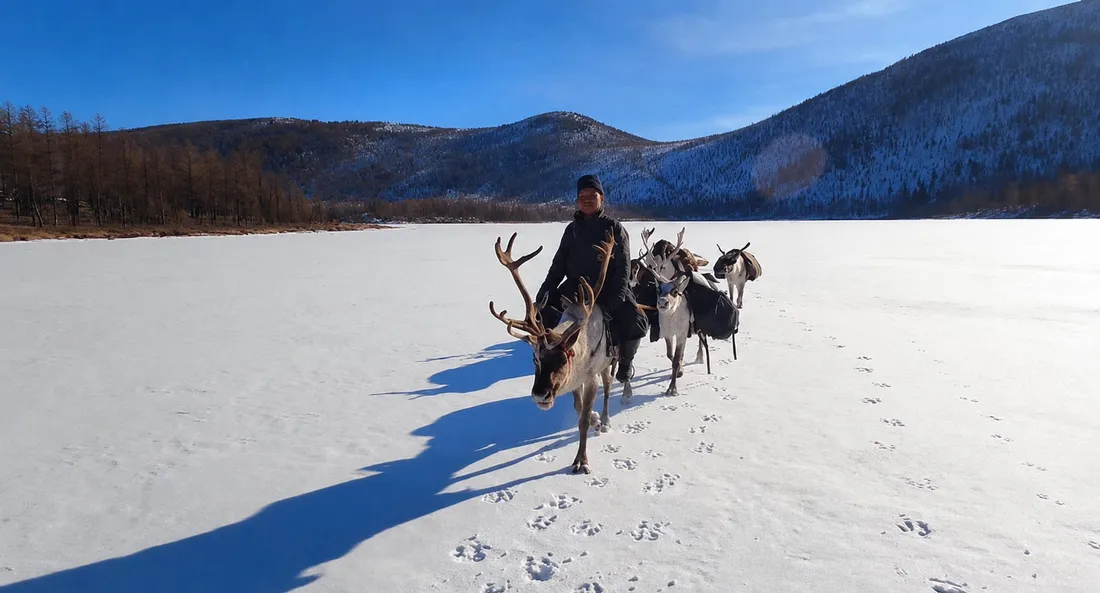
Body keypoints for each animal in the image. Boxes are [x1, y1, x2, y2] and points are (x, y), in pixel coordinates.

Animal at [488, 229, 624, 475]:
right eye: (535, 359)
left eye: (562, 359)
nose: (539, 395)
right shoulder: (575, 381)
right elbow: (579, 409)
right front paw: (594, 419)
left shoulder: (590, 377)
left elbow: (582, 420)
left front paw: (582, 459)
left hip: (608, 363)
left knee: (609, 386)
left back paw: (606, 419)